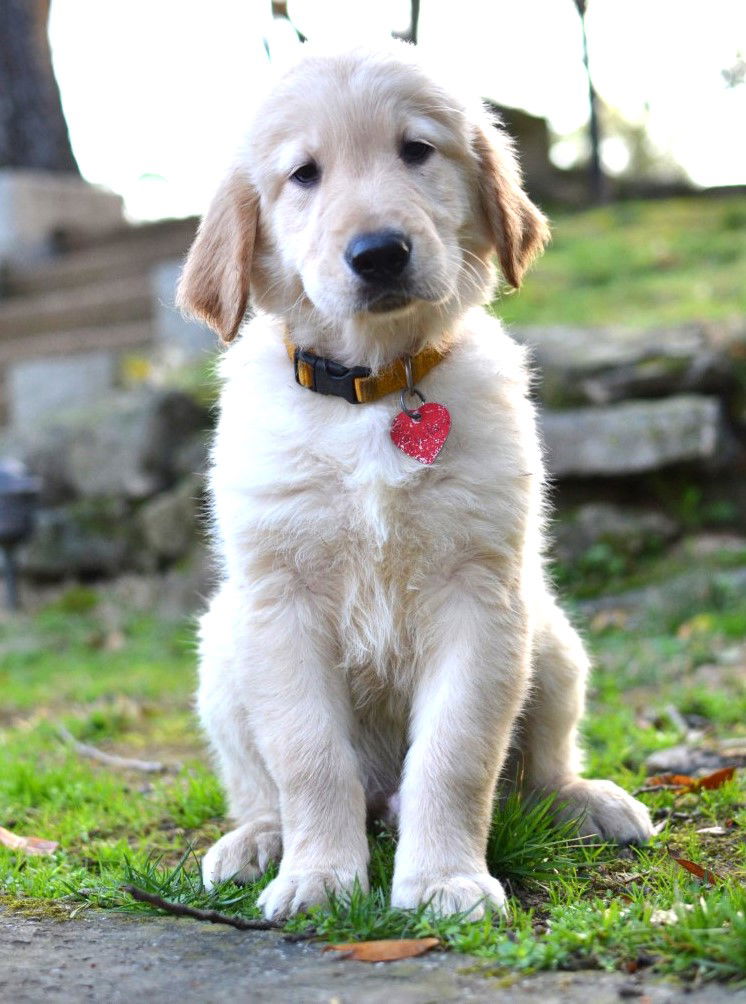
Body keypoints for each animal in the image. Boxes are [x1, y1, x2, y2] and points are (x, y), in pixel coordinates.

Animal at [177, 43, 653, 922]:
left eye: (416, 150)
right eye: (304, 174)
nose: (379, 253)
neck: (376, 385)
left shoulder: (480, 595)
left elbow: (457, 756)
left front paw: (443, 881)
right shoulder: (281, 602)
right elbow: (308, 757)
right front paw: (320, 875)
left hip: (551, 636)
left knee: (538, 767)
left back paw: (586, 800)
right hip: (222, 648)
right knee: (261, 785)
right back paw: (257, 840)